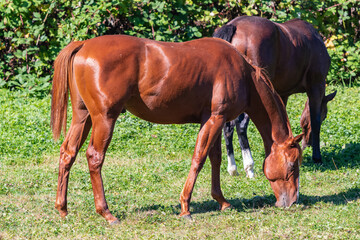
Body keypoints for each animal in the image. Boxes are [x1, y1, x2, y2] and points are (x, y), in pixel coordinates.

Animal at [51, 34, 304, 224]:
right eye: (293, 165)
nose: (292, 201)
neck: (243, 73)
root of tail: (84, 45)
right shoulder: (215, 119)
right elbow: (199, 158)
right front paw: (185, 207)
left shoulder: (212, 120)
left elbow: (215, 158)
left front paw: (221, 201)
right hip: (104, 119)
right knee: (95, 157)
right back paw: (106, 213)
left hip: (83, 118)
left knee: (68, 153)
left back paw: (62, 208)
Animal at [212, 15, 336, 176]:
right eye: (325, 116)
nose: (306, 144)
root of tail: (234, 25)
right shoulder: (316, 87)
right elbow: (315, 121)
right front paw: (317, 157)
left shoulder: (282, 94)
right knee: (241, 125)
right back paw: (249, 167)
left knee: (228, 127)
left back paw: (233, 168)